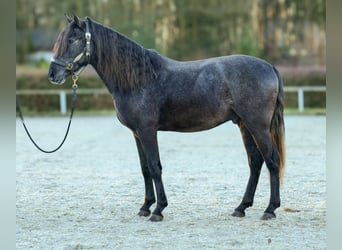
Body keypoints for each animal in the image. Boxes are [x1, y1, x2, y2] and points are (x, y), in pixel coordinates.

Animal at [46, 14, 284, 222]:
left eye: (72, 40)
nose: (52, 75)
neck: (139, 78)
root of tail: (269, 67)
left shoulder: (147, 130)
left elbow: (154, 166)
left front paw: (158, 210)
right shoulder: (137, 133)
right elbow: (144, 168)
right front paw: (145, 207)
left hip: (257, 126)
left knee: (272, 160)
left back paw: (270, 210)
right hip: (245, 125)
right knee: (255, 162)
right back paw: (241, 208)